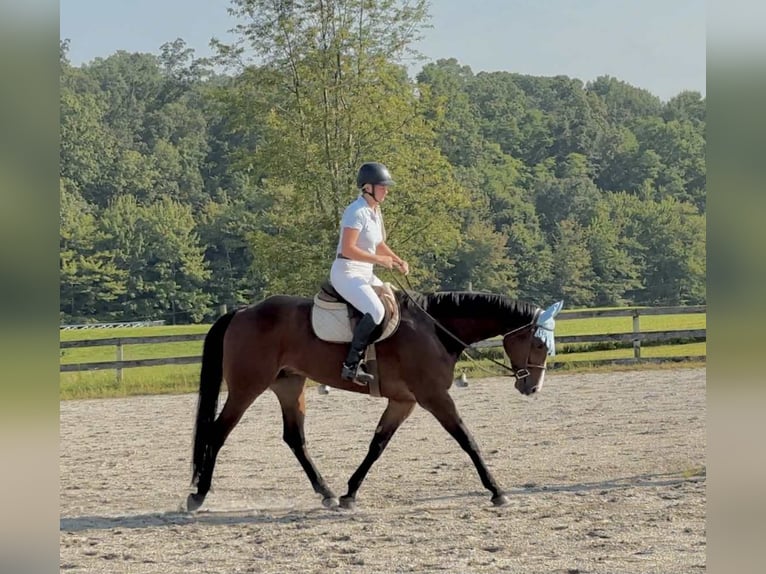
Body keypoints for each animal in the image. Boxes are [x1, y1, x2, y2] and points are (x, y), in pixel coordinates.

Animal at [187, 289, 562, 512]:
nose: (532, 388)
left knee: (295, 437)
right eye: (539, 344)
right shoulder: (433, 396)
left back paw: (325, 491)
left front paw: (349, 493)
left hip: (289, 386)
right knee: (217, 433)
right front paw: (497, 490)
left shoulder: (403, 402)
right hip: (246, 387)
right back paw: (198, 495)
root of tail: (242, 311)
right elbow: (467, 440)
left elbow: (377, 445)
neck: (436, 331)